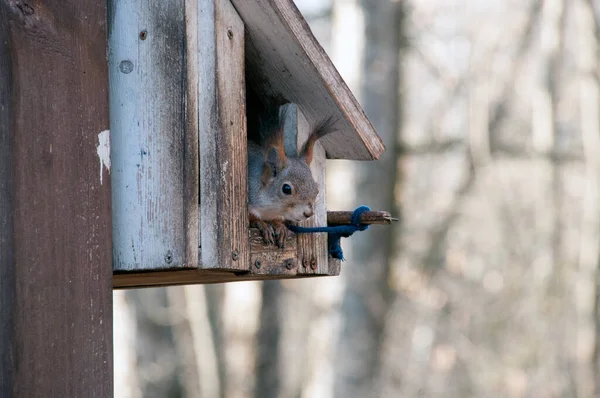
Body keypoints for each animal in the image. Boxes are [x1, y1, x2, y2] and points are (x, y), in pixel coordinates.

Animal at [246, 105, 336, 249]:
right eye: (286, 189)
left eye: (317, 190)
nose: (308, 213)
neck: (271, 209)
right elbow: (252, 217)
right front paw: (262, 224)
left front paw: (279, 226)